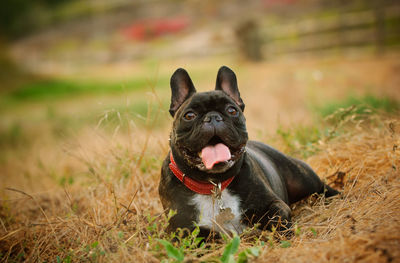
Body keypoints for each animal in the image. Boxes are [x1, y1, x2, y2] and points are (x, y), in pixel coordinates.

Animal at [159, 66, 338, 239]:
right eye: (189, 115)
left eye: (232, 111)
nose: (213, 117)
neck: (215, 185)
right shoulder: (182, 230)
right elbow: (208, 235)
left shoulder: (275, 204)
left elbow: (276, 218)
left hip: (302, 179)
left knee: (321, 187)